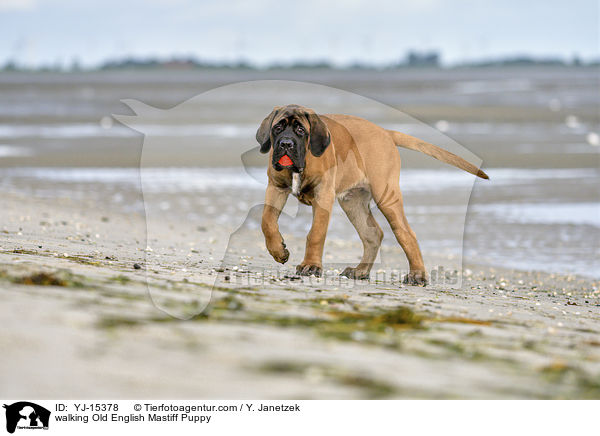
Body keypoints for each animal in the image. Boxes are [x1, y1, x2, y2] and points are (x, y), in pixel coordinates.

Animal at [258, 104, 488, 284]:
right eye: (278, 128)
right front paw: (278, 251)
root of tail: (385, 132)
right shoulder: (275, 188)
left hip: (387, 196)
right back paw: (360, 271)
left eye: (300, 130)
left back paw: (417, 275)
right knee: (373, 234)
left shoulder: (323, 196)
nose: (285, 144)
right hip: (353, 202)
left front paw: (311, 266)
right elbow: (267, 221)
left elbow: (315, 233)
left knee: (406, 233)